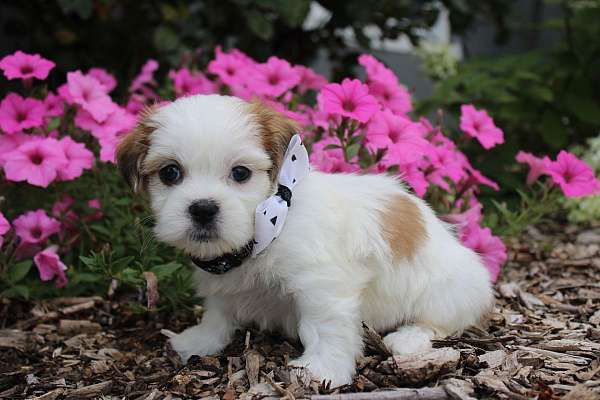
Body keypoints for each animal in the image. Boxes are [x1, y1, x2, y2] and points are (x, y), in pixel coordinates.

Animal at [116, 94, 492, 388]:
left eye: (240, 173)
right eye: (170, 172)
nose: (203, 208)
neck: (269, 226)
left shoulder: (321, 285)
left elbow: (324, 327)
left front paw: (322, 369)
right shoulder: (223, 285)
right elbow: (218, 314)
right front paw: (200, 340)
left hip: (447, 291)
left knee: (439, 321)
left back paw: (408, 338)